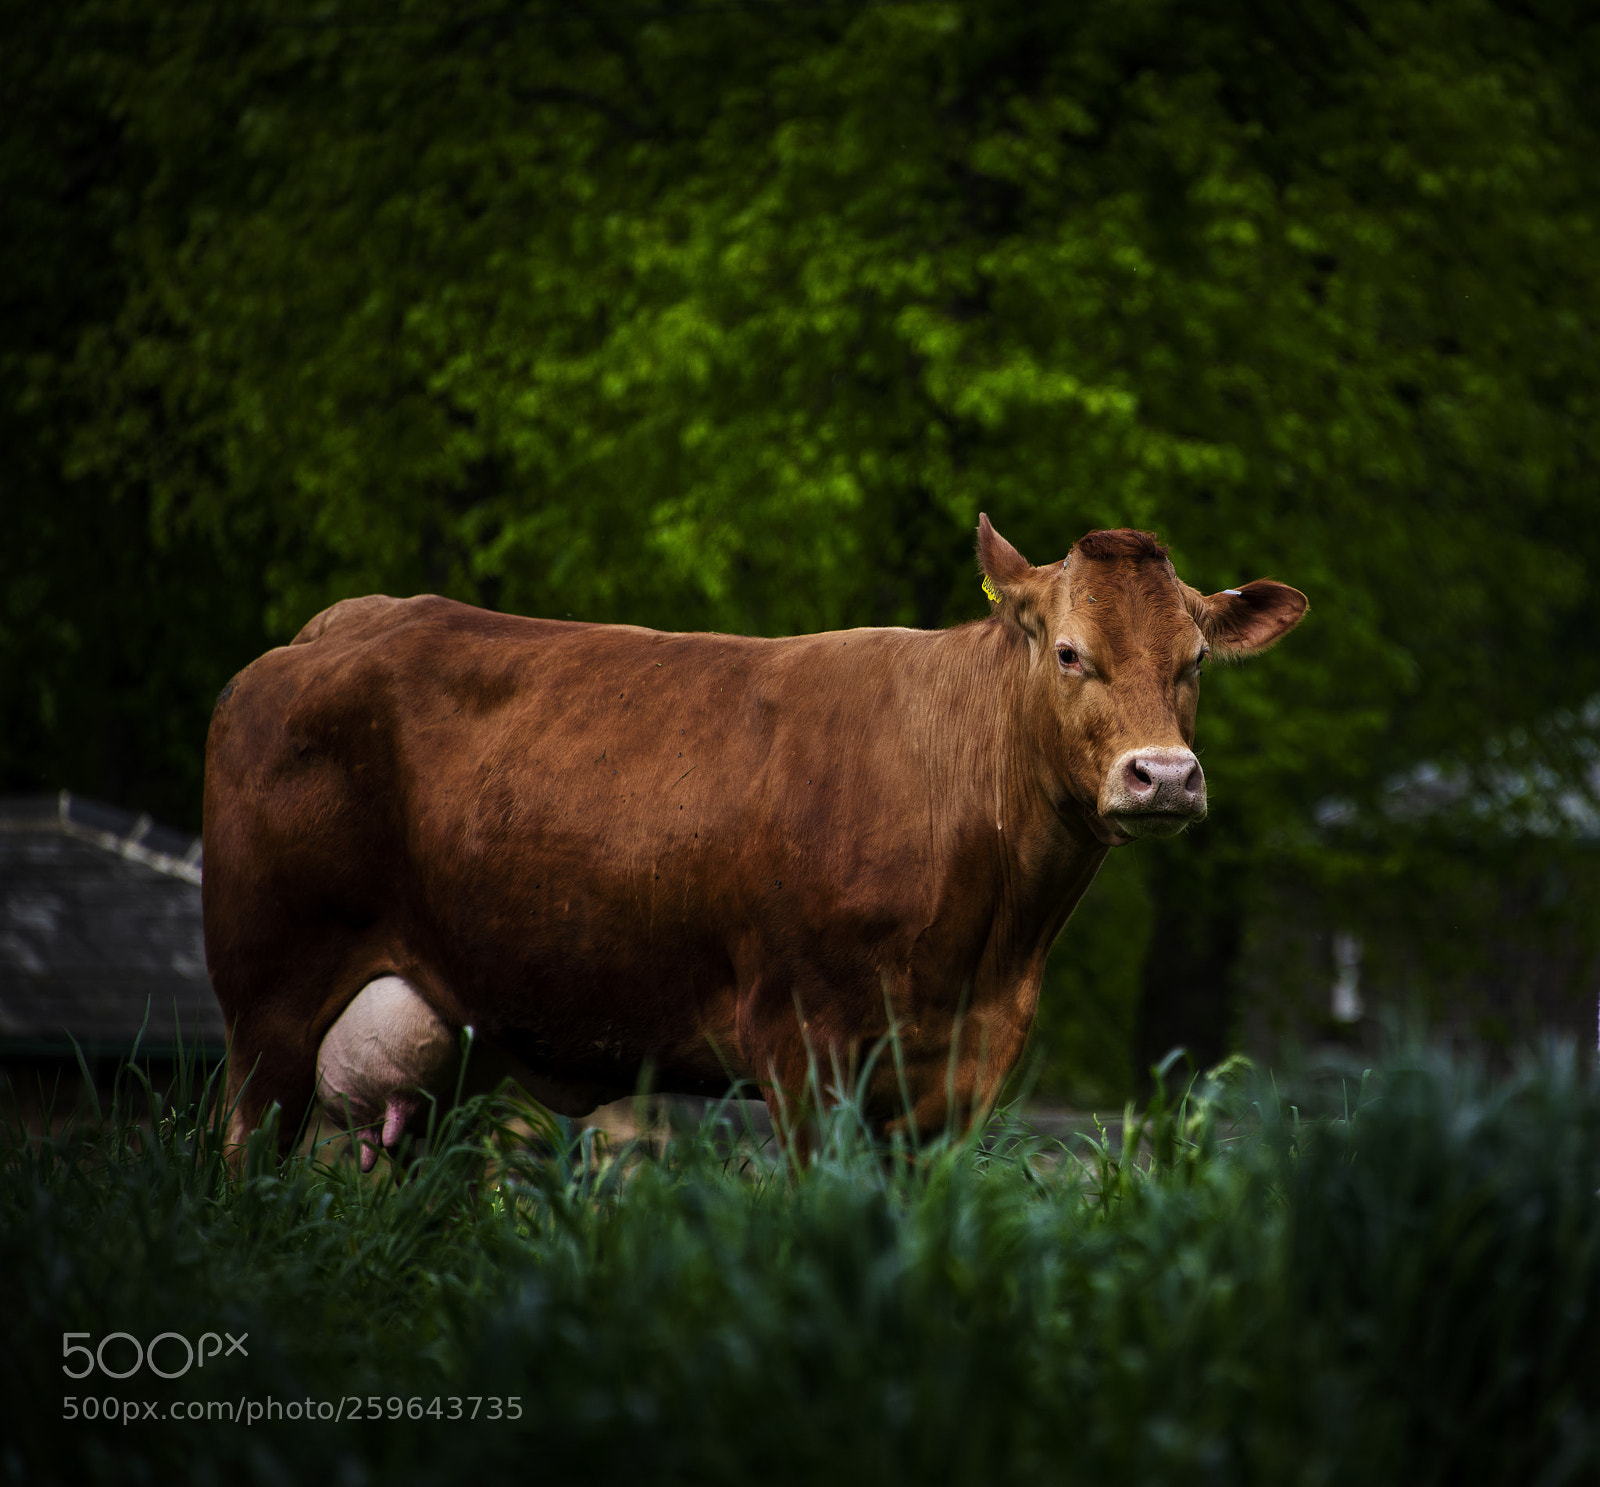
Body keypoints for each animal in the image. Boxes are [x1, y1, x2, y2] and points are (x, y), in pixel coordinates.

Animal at [202, 517, 1306, 1166]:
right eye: (1071, 652)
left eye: (1194, 659)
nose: (1163, 775)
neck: (986, 935)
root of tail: (340, 625)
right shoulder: (805, 1043)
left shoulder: (963, 1073)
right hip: (269, 1005)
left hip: (447, 1030)